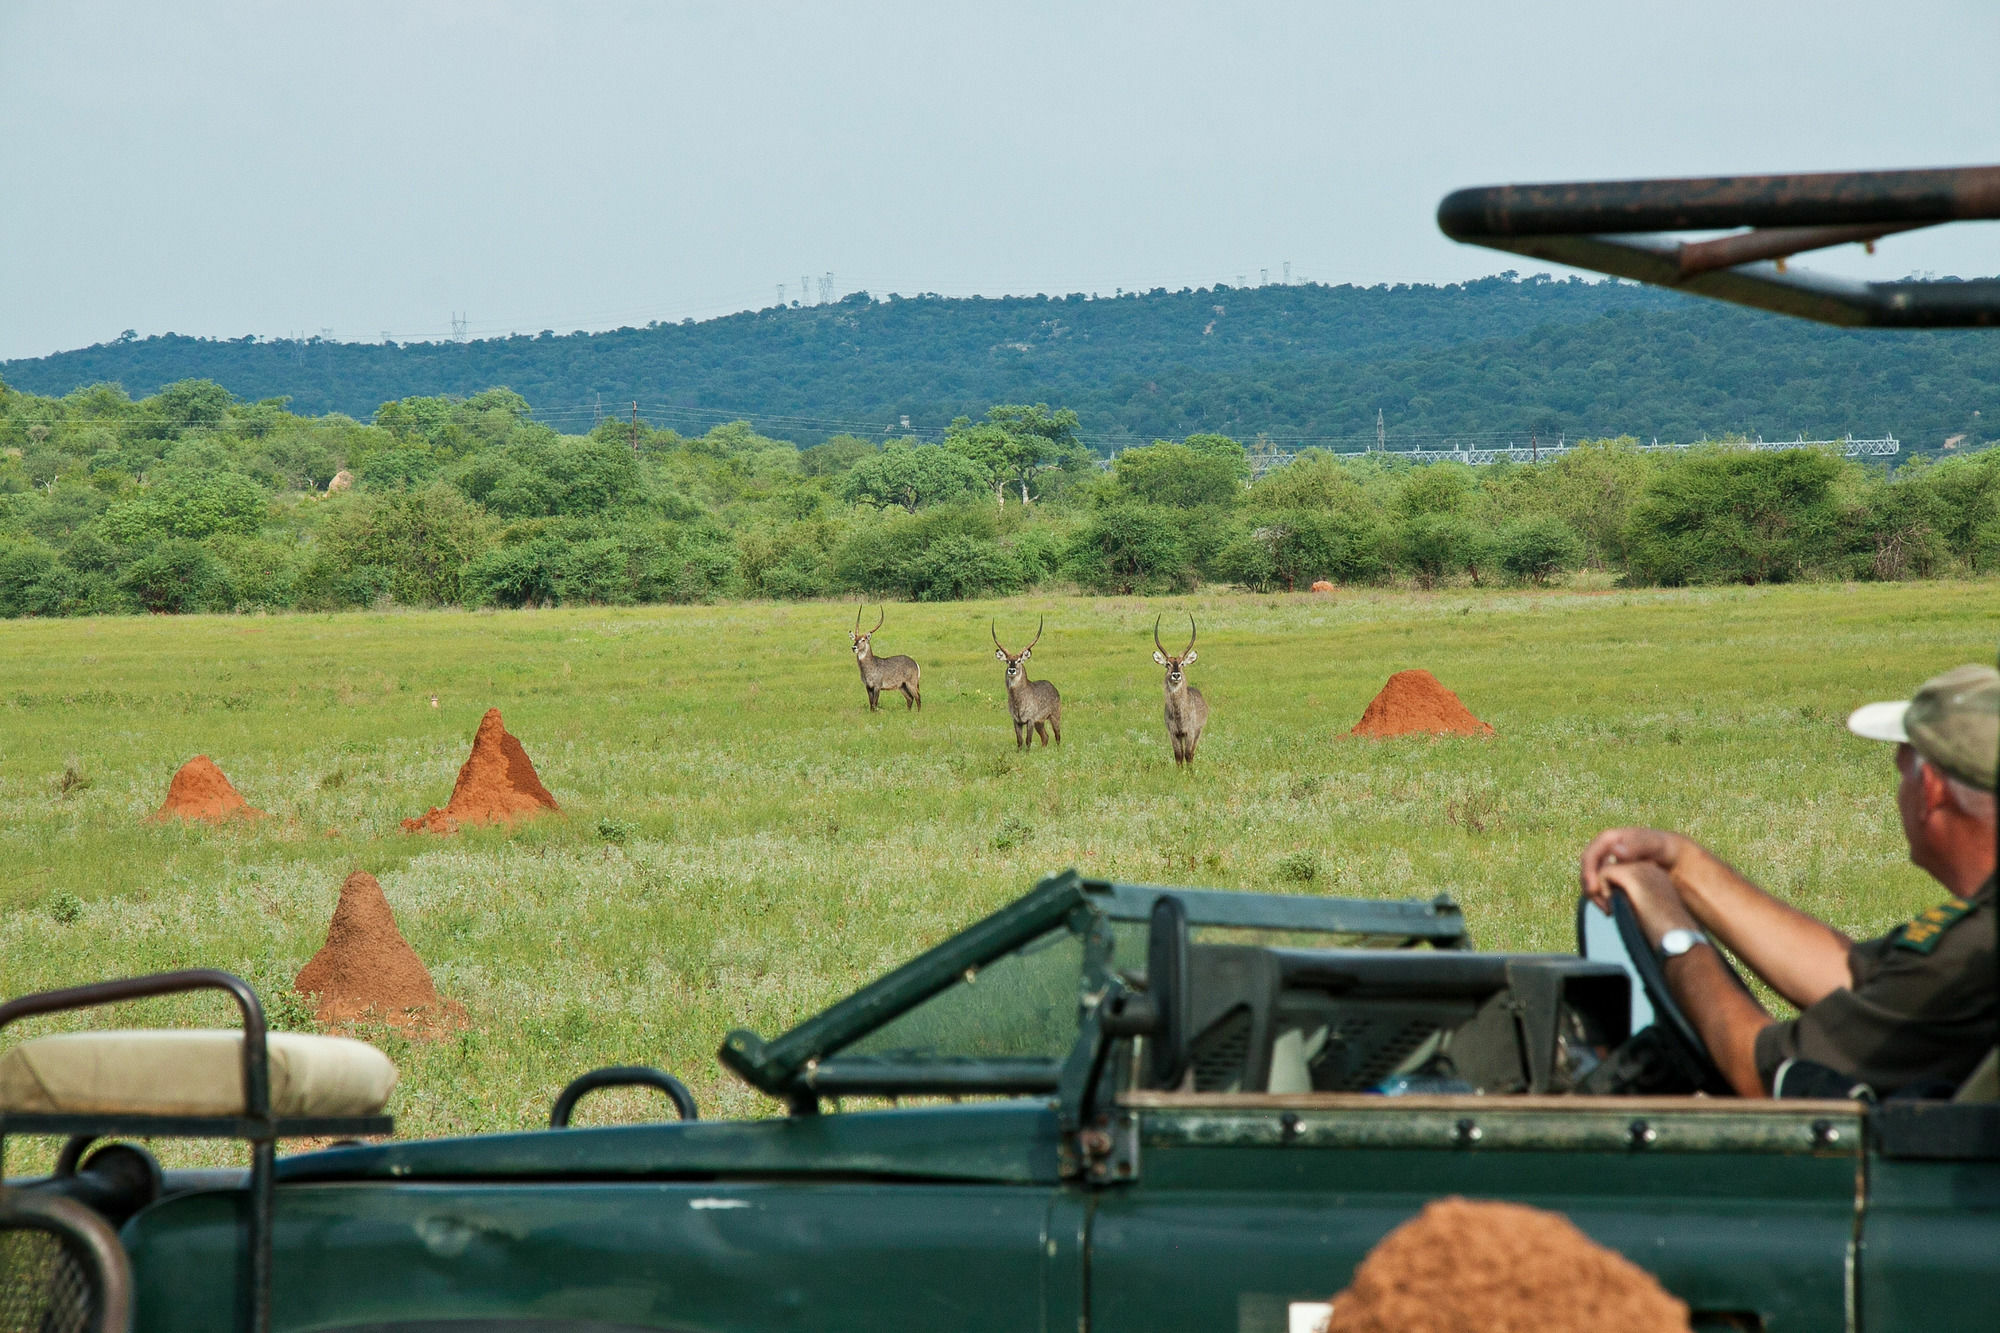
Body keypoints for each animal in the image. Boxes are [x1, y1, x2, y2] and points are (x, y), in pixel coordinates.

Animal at [996, 616, 1064, 748]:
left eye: (1018, 660)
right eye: (1007, 661)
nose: (1011, 670)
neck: (1018, 700)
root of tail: (1053, 686)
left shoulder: (1030, 719)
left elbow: (1028, 741)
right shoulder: (1016, 720)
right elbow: (1019, 741)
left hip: (1054, 716)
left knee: (1057, 736)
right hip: (1040, 722)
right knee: (1045, 737)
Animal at [1152, 616, 1208, 764]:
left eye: (1182, 663)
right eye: (1167, 664)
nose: (1176, 675)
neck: (1179, 714)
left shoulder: (1190, 732)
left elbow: (1188, 755)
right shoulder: (1173, 733)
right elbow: (1178, 755)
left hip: (1198, 731)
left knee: (1192, 753)